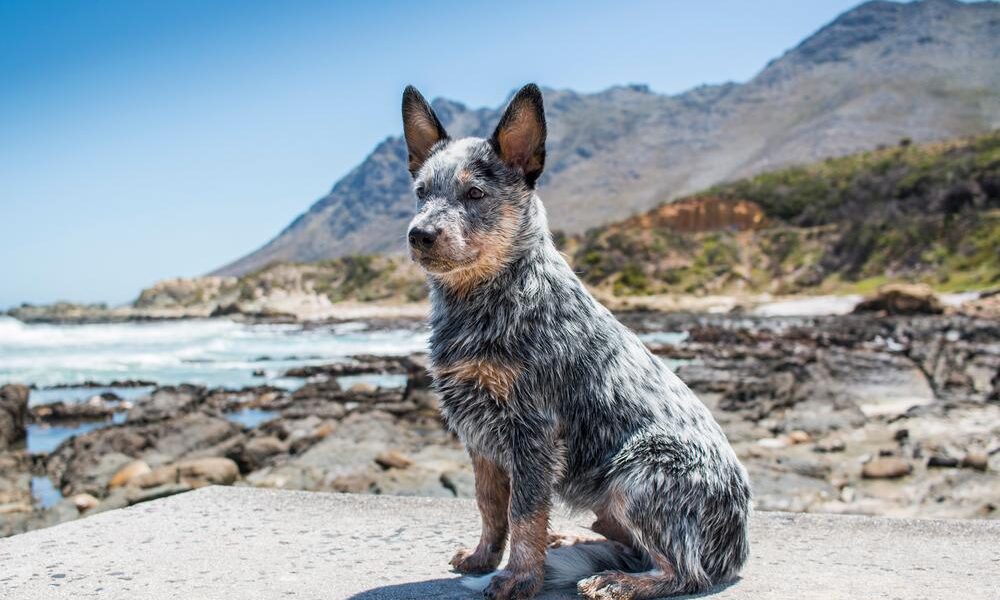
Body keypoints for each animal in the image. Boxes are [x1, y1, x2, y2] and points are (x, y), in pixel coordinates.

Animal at [400, 84, 752, 600]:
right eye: (422, 193)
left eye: (475, 193)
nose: (420, 234)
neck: (485, 300)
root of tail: (740, 548)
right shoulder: (478, 432)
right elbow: (490, 507)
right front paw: (484, 558)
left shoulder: (533, 431)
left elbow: (524, 514)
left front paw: (519, 576)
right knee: (626, 542)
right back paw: (574, 540)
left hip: (638, 472)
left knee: (684, 572)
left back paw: (618, 582)